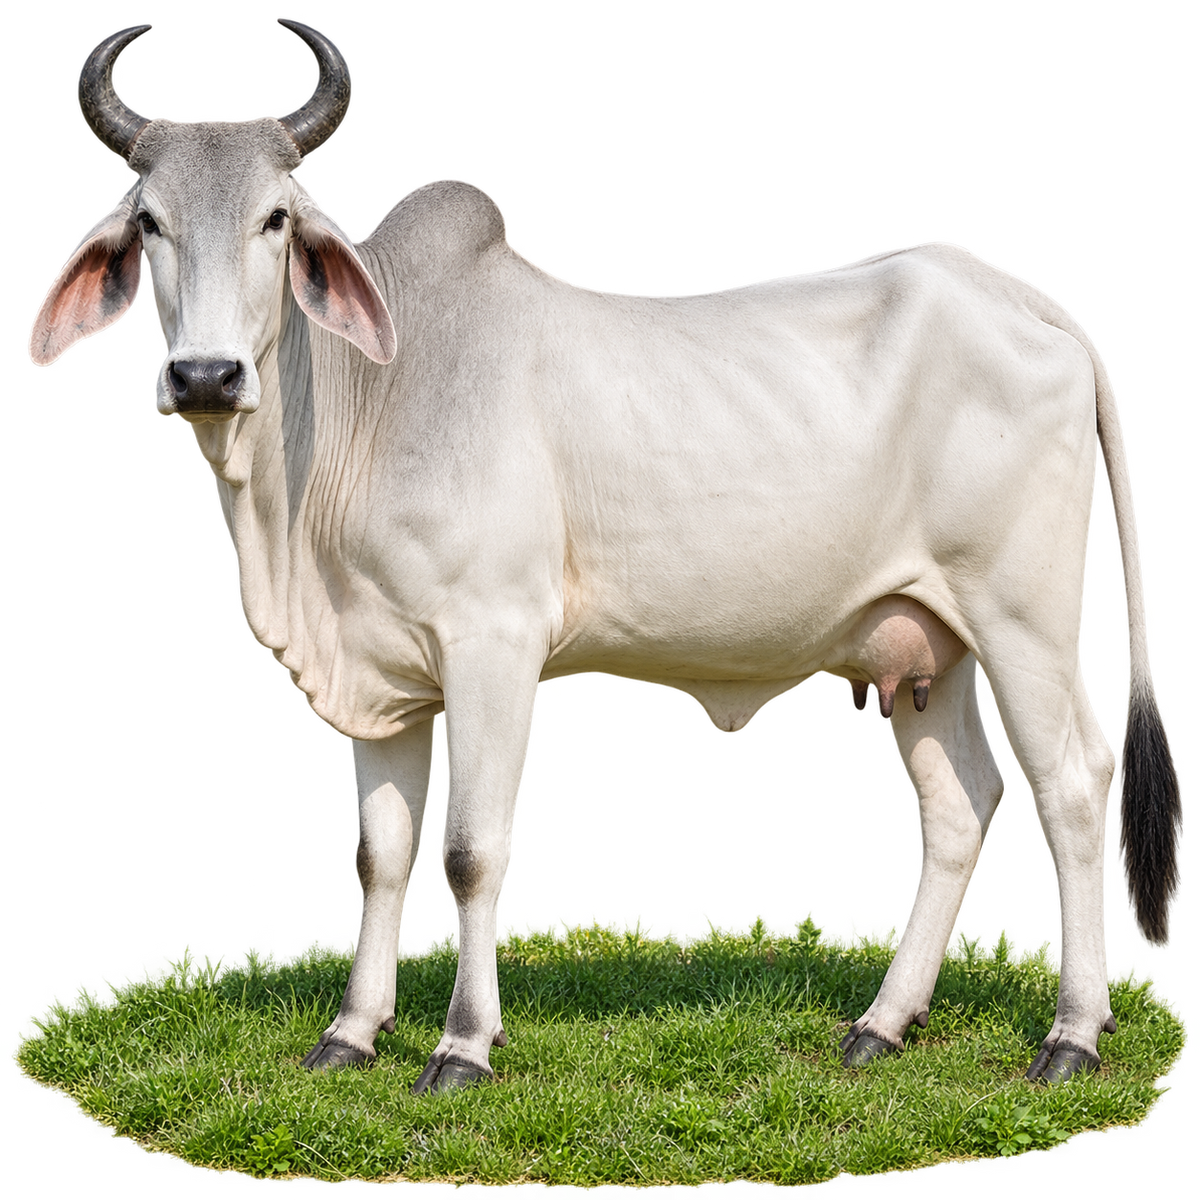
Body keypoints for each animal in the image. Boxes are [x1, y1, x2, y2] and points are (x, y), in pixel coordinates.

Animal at [26, 18, 1182, 1095]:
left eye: (275, 218)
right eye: (149, 220)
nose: (207, 376)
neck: (358, 412)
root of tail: (1042, 311)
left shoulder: (491, 645)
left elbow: (475, 850)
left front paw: (462, 1045)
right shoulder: (380, 679)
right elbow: (382, 857)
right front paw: (351, 1035)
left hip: (1023, 620)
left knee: (1073, 787)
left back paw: (1072, 1034)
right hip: (922, 642)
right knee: (958, 809)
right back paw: (881, 1026)